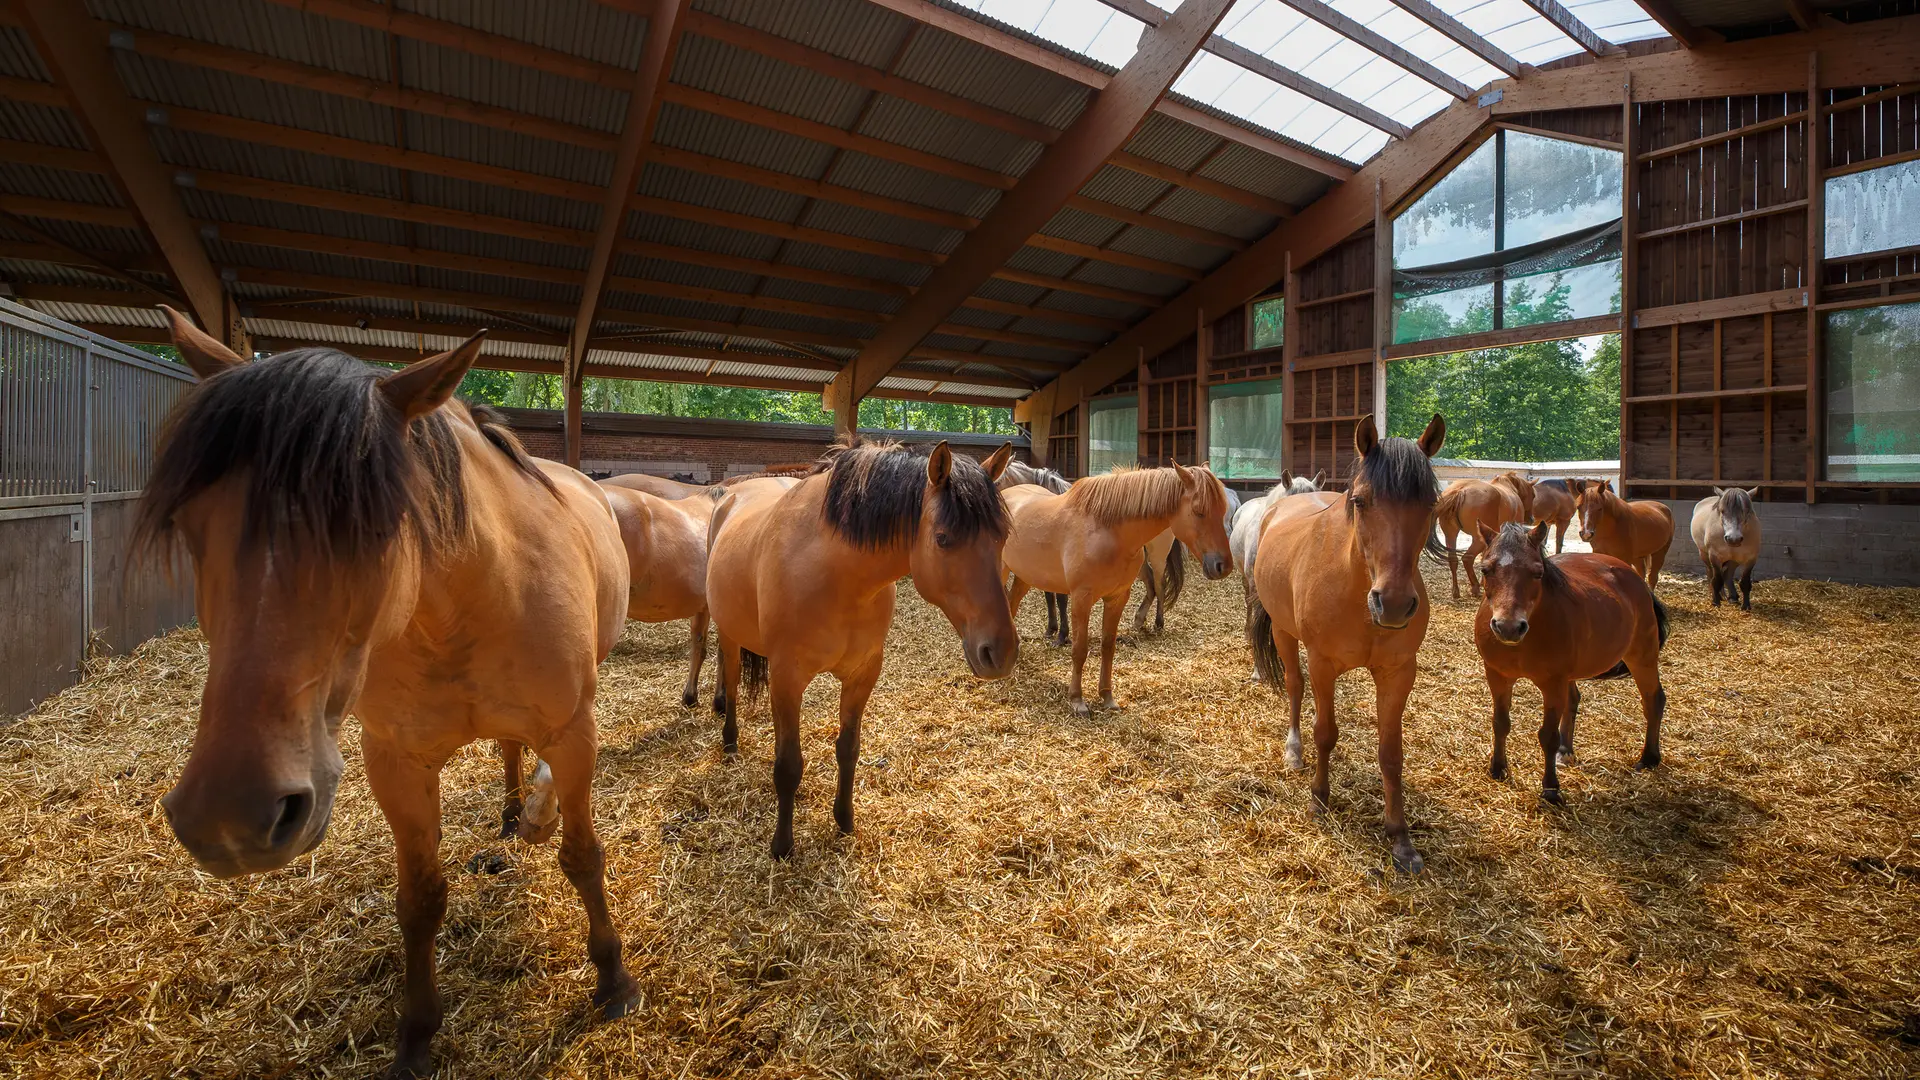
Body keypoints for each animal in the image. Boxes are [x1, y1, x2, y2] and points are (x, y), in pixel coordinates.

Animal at [139, 309, 634, 1077]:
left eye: (376, 522)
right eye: (192, 527)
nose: (227, 816)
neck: (463, 604)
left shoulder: (573, 730)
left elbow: (583, 857)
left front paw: (612, 980)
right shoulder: (396, 763)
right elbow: (421, 899)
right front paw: (417, 1034)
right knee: (506, 750)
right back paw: (513, 811)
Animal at [707, 438, 1017, 858]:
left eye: (1001, 538)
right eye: (942, 539)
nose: (1000, 653)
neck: (836, 574)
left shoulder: (862, 674)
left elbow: (848, 749)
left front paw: (844, 820)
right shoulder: (787, 677)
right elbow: (788, 765)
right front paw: (782, 845)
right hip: (728, 634)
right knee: (733, 679)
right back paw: (730, 739)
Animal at [1003, 464, 1233, 717]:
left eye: (1223, 510)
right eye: (1199, 511)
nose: (1223, 566)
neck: (1106, 530)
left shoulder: (1117, 598)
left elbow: (1108, 646)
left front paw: (1107, 697)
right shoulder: (1081, 599)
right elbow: (1079, 649)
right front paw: (1077, 701)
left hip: (1024, 576)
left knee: (1012, 603)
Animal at [1249, 414, 1446, 872]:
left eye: (1430, 505)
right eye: (1360, 501)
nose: (1393, 604)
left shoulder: (1398, 672)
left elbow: (1391, 753)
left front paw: (1400, 837)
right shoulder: (1323, 663)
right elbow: (1325, 732)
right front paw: (1319, 800)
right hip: (1284, 634)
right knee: (1294, 687)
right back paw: (1294, 752)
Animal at [1472, 521, 1670, 803]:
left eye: (1537, 572)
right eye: (1486, 569)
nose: (1508, 627)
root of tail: (1633, 577)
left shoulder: (1552, 684)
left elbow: (1547, 736)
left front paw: (1551, 788)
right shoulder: (1497, 676)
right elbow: (1501, 723)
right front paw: (1498, 769)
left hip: (1641, 656)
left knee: (1654, 699)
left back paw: (1649, 758)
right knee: (1574, 700)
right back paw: (1566, 750)